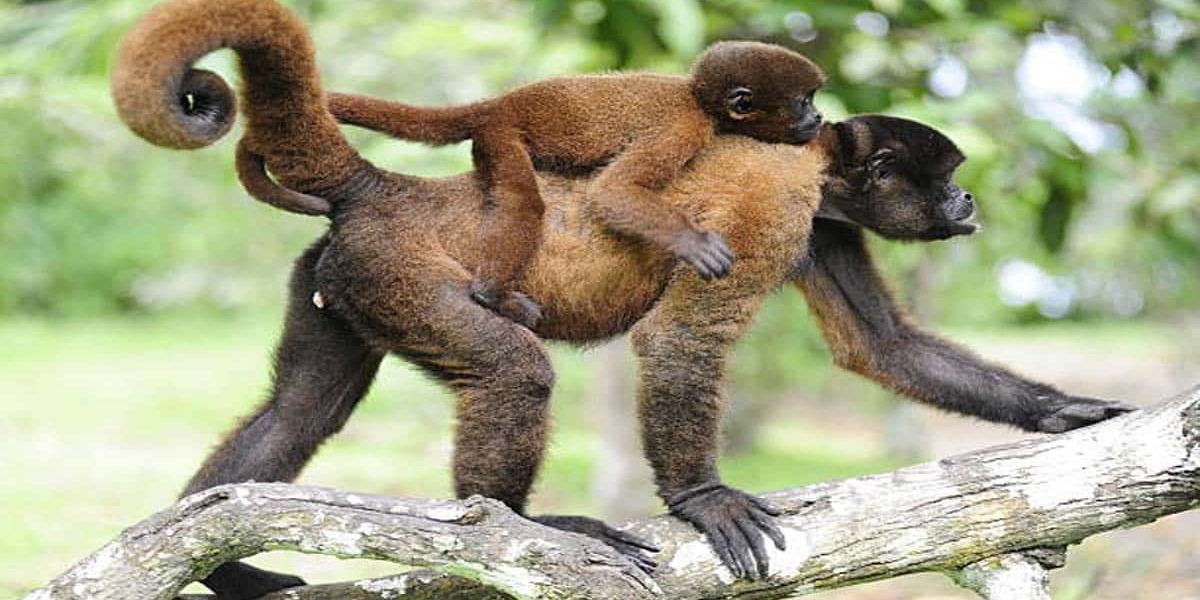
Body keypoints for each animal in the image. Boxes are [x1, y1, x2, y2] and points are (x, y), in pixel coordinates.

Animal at [111, 1, 1133, 596]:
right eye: (948, 177)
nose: (968, 204)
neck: (818, 161)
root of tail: (384, 190)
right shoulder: (778, 204)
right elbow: (682, 340)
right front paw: (704, 499)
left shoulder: (824, 224)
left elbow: (881, 346)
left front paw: (1065, 412)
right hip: (403, 272)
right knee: (511, 370)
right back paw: (509, 524)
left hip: (345, 278)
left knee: (298, 407)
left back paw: (219, 555)